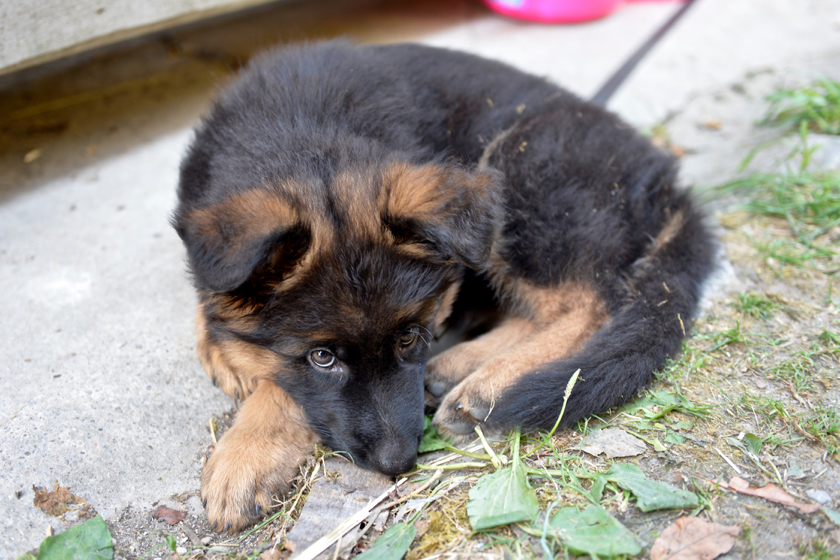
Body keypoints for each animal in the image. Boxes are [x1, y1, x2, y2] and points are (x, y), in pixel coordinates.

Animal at [172, 41, 716, 532]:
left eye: (411, 337)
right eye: (322, 357)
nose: (397, 464)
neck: (302, 128)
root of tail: (667, 183)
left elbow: (282, 386)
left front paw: (246, 452)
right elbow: (214, 300)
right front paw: (222, 346)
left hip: (517, 165)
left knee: (591, 303)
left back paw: (486, 387)